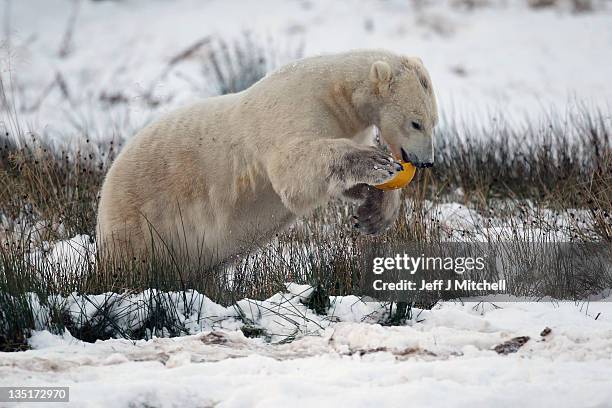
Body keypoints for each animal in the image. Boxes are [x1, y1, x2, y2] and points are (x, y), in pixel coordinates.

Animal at [97, 50, 436, 264]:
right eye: (416, 122)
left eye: (434, 120)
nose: (426, 162)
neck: (334, 90)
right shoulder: (293, 108)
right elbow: (294, 170)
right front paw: (377, 162)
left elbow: (345, 185)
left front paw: (373, 215)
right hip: (142, 221)